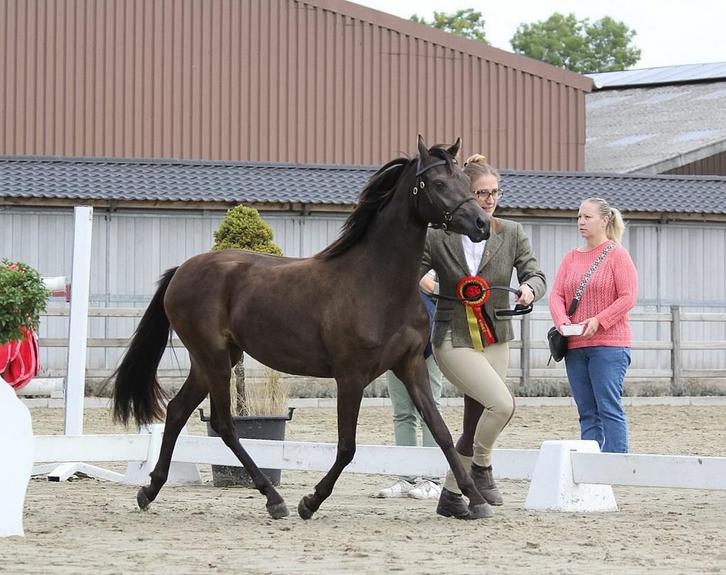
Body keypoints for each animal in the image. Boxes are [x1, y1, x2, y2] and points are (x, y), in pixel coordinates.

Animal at [111, 136, 492, 520]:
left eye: (465, 179)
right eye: (439, 183)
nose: (482, 224)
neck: (376, 282)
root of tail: (182, 270)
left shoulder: (410, 365)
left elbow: (441, 432)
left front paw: (475, 499)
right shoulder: (351, 376)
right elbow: (347, 447)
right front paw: (310, 501)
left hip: (214, 359)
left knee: (177, 411)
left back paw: (150, 490)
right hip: (214, 358)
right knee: (224, 425)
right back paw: (273, 498)